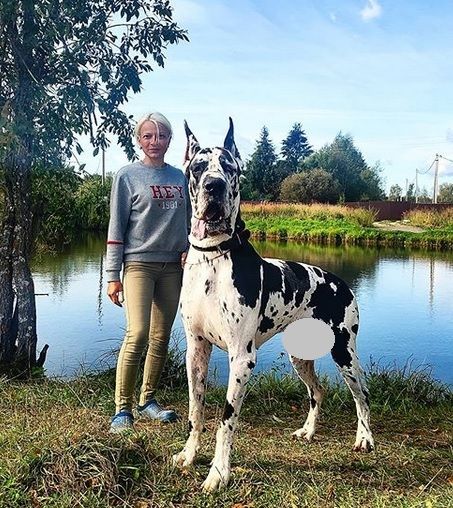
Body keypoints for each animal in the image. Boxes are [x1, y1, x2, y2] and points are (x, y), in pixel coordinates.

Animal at [171, 119, 372, 492]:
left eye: (230, 168)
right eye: (198, 167)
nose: (214, 186)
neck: (212, 259)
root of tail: (341, 282)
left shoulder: (241, 358)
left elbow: (225, 421)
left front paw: (218, 473)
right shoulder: (196, 349)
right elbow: (195, 411)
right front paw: (188, 456)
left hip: (344, 353)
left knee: (361, 393)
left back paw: (365, 439)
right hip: (300, 358)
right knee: (318, 392)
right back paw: (308, 431)